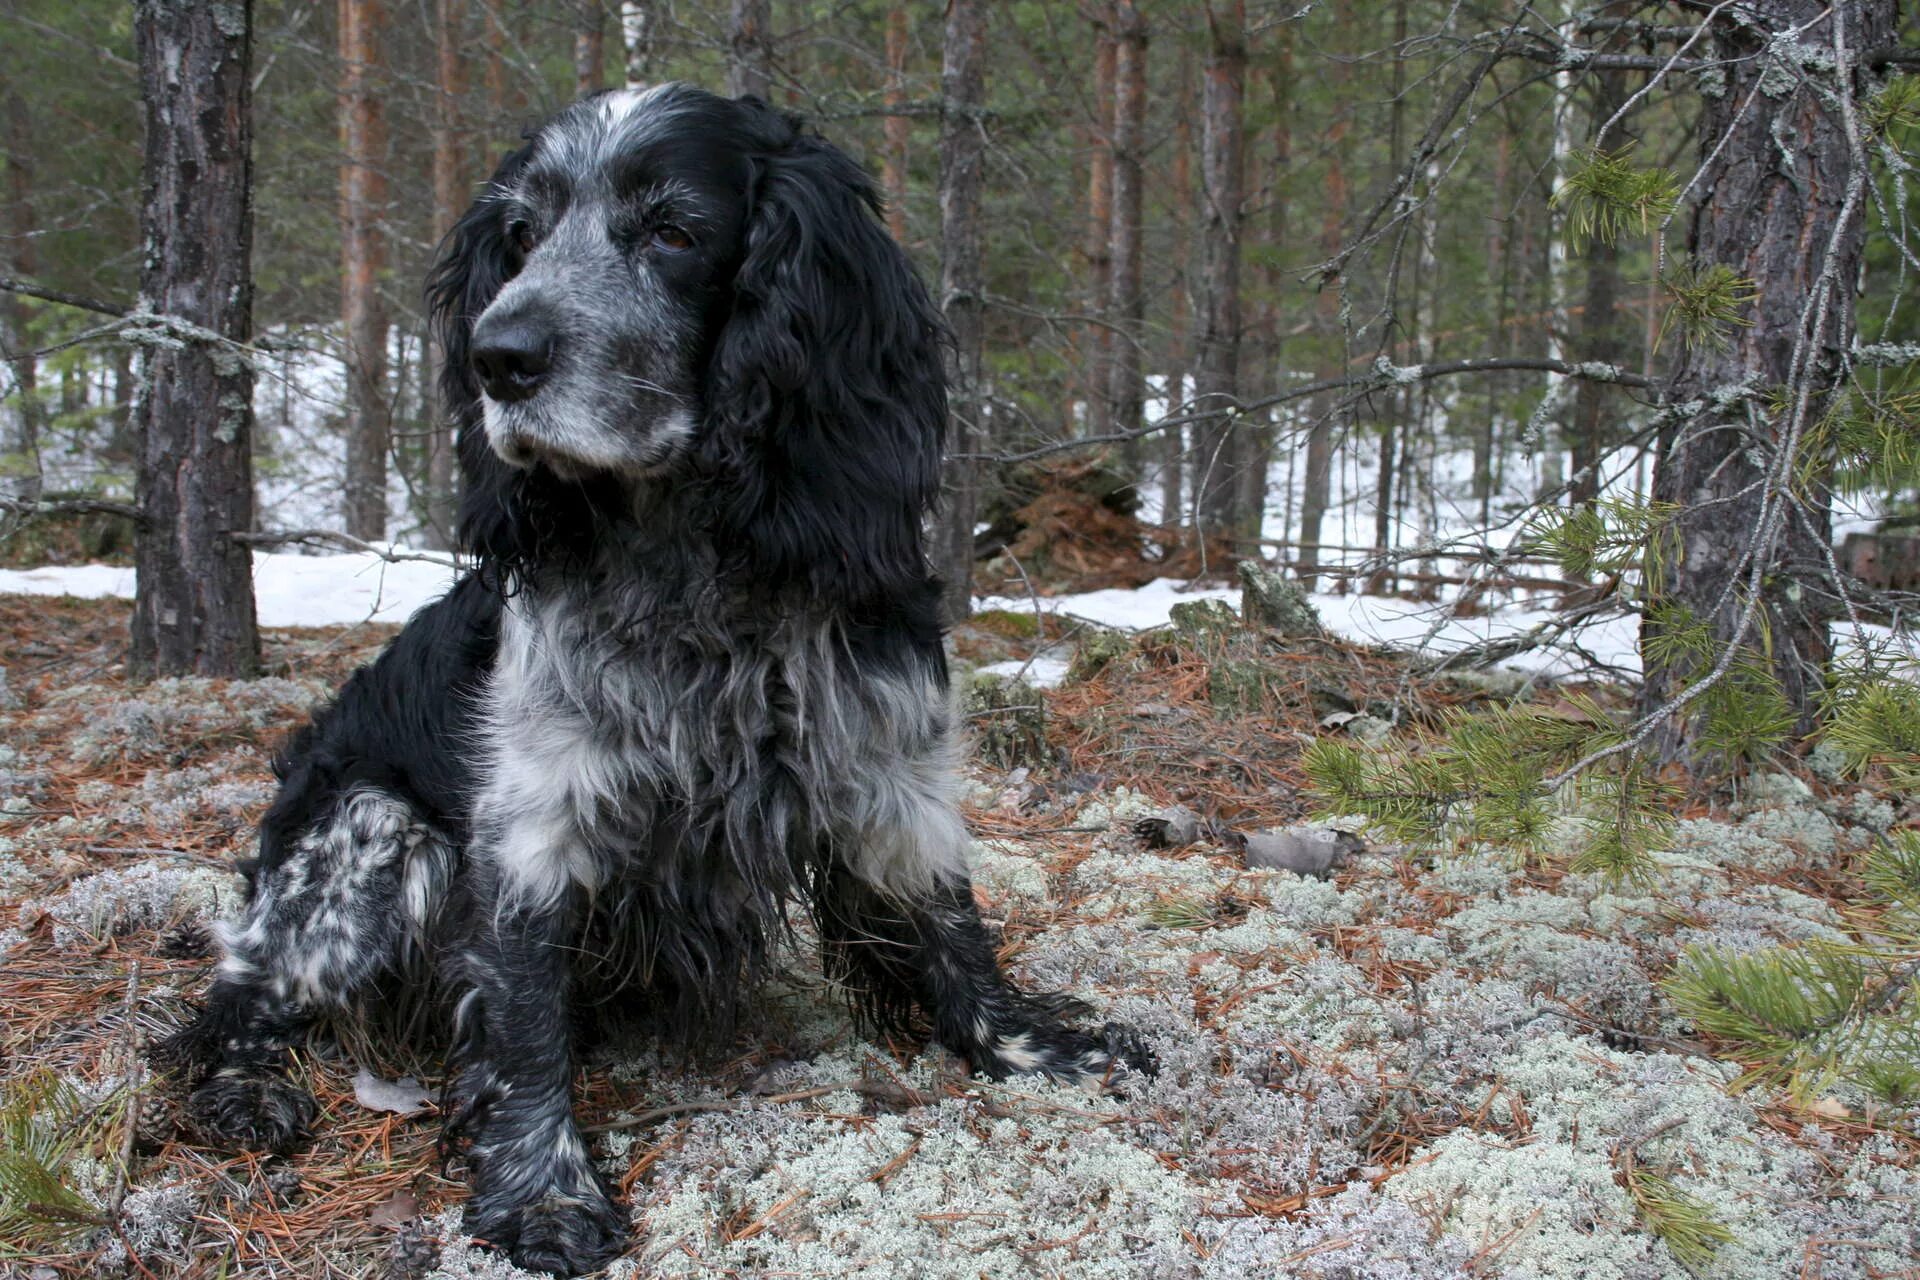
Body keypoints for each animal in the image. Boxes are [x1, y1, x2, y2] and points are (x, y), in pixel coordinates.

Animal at [165, 84, 1144, 1274]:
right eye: (522, 236)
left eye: (674, 230)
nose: (498, 355)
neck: (693, 562)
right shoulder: (532, 823)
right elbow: (525, 1023)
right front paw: (542, 1191)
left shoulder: (889, 765)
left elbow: (951, 924)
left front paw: (1040, 1049)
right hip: (363, 834)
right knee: (235, 996)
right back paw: (247, 1091)